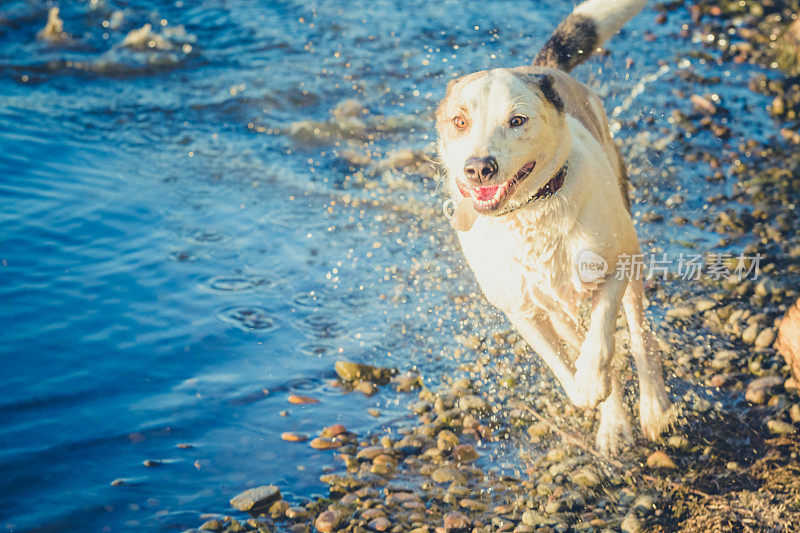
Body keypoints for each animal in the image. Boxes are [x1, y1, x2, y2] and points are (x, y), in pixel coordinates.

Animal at [438, 0, 676, 454]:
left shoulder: (615, 266)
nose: (478, 167)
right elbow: (561, 360)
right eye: (459, 122)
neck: (530, 217)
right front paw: (592, 398)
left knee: (640, 335)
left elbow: (601, 338)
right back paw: (614, 422)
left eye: (517, 120)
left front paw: (594, 382)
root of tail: (541, 68)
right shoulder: (522, 310)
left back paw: (653, 409)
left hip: (632, 260)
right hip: (557, 306)